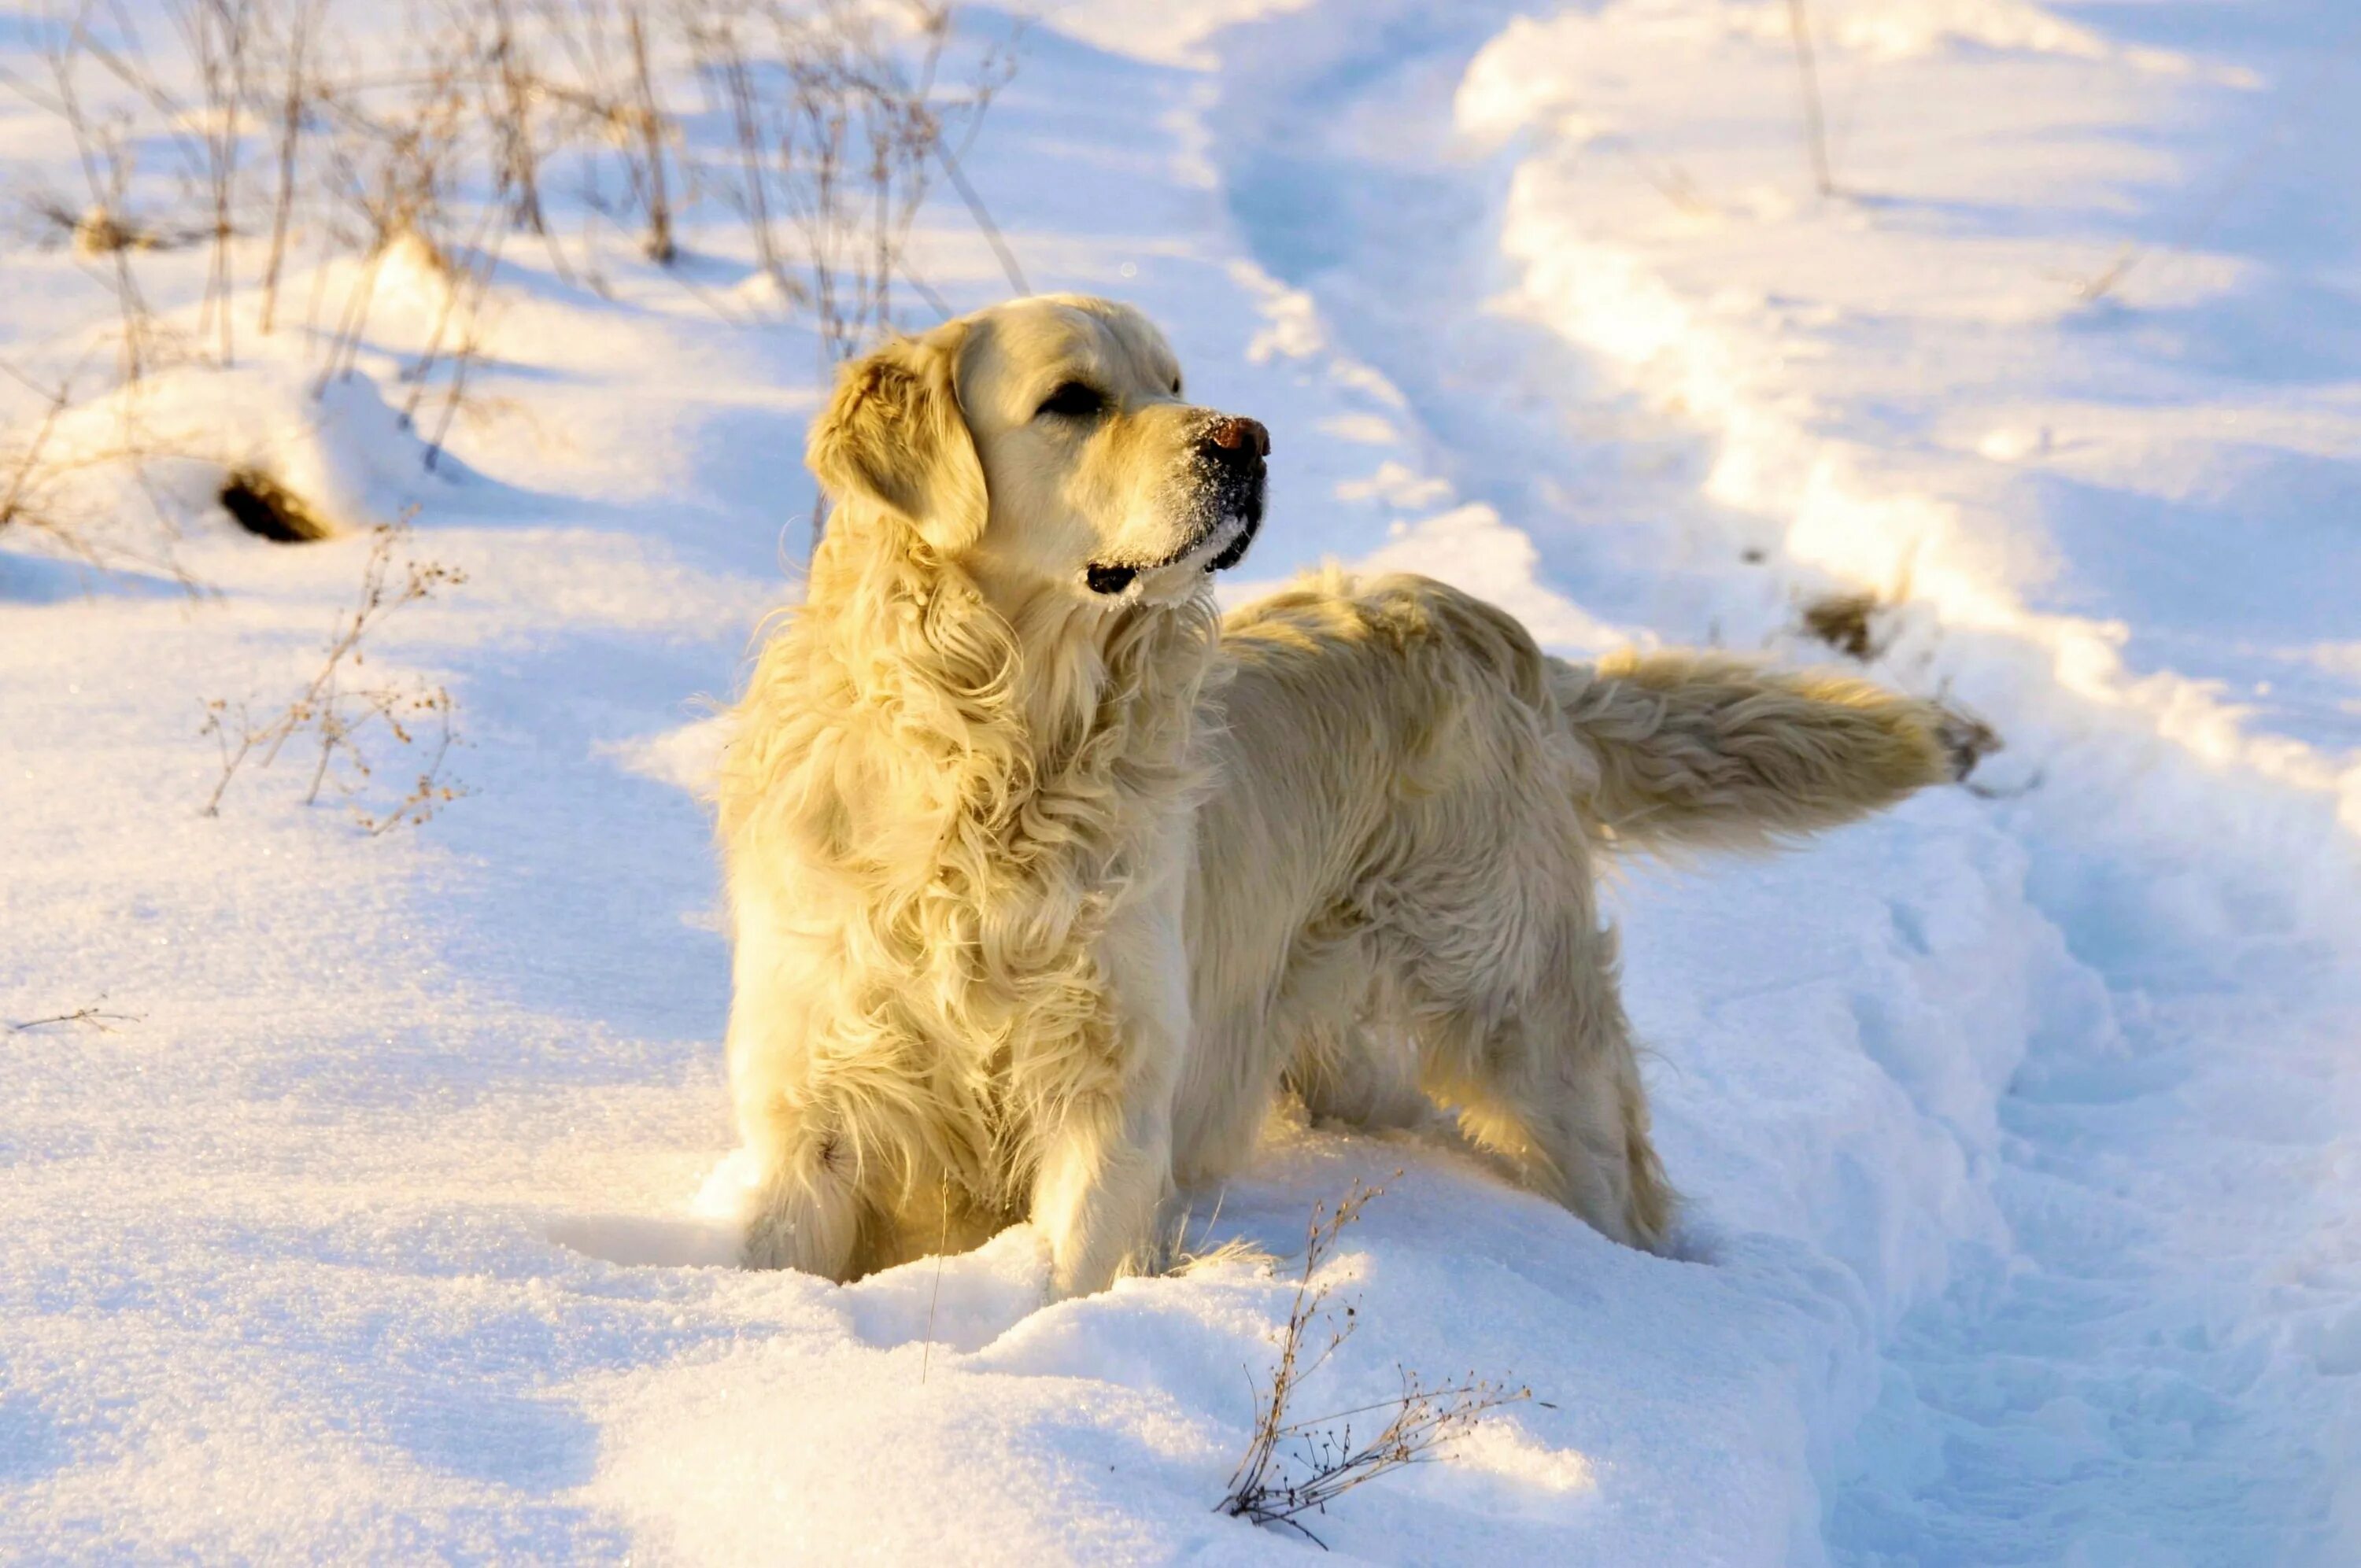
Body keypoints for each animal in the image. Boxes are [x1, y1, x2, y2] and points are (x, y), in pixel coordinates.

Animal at [713, 293, 1974, 1293]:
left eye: (1176, 381)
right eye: (1072, 399)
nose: (1248, 437)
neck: (999, 751)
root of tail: (1492, 629)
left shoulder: (1108, 1099)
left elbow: (1066, 1269)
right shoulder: (813, 1097)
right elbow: (773, 1245)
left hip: (1520, 1014)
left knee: (1618, 1179)